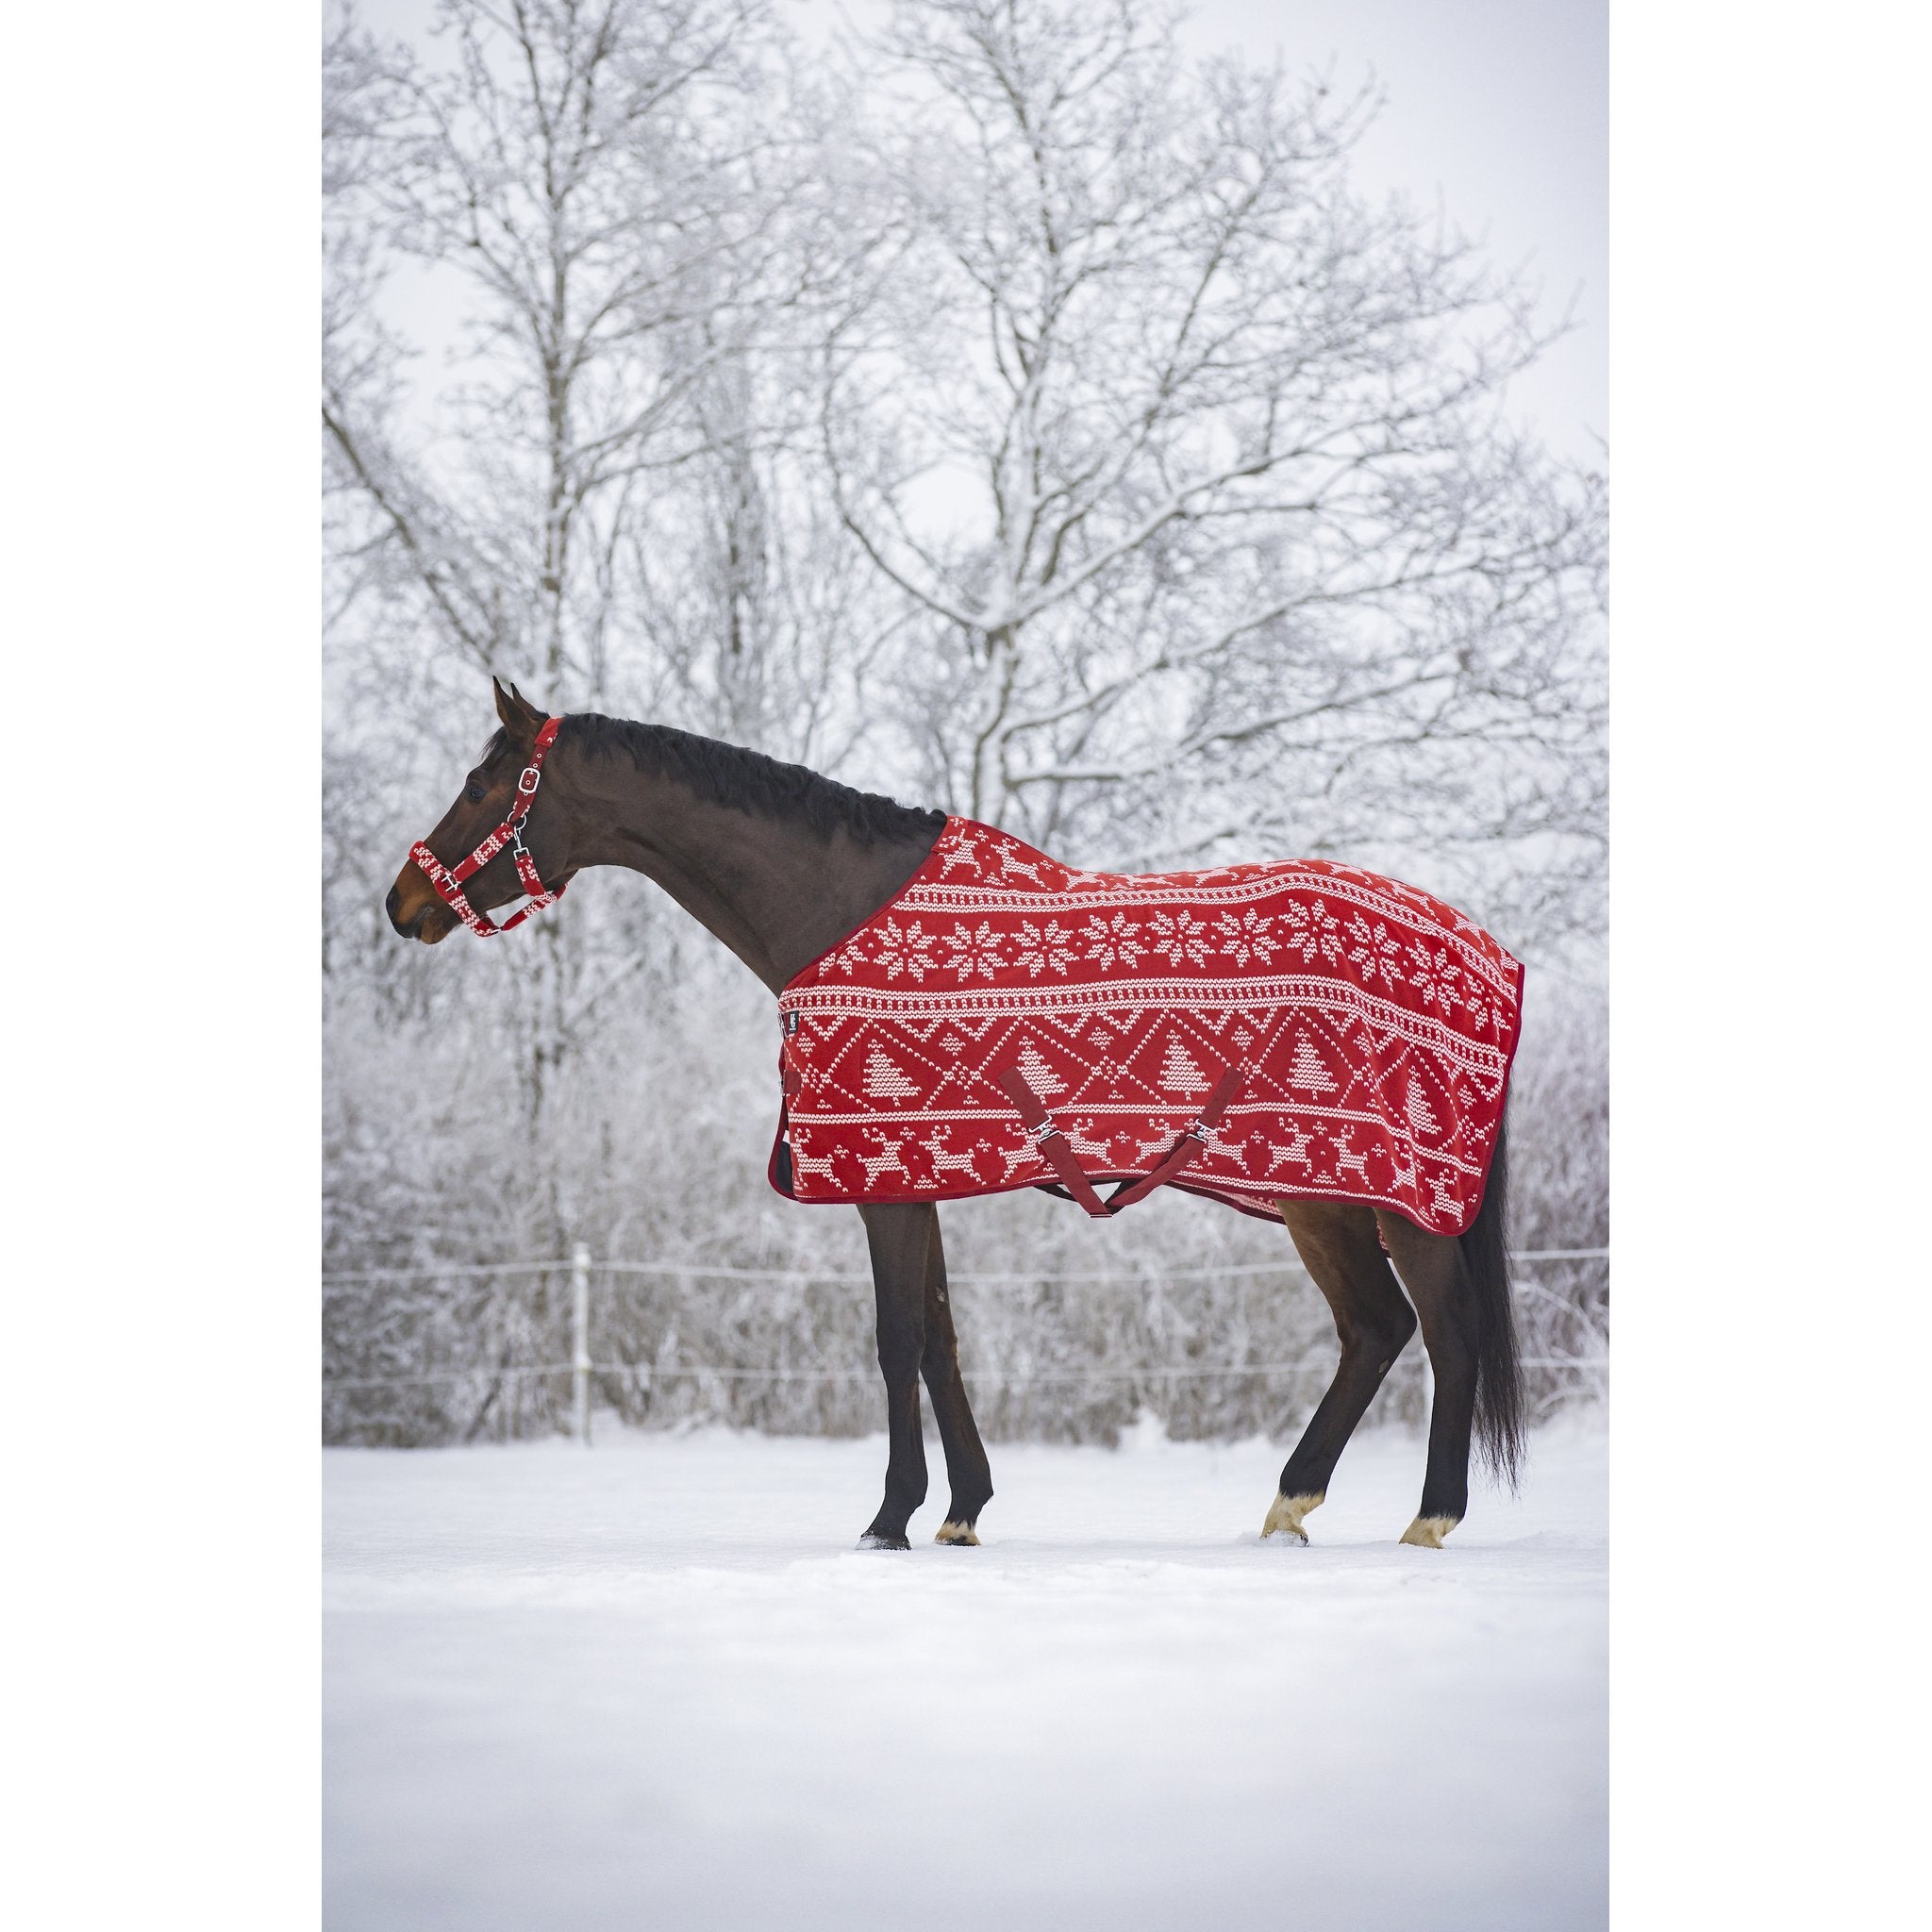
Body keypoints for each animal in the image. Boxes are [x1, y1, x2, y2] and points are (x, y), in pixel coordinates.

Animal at [387, 679, 1524, 1551]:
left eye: (481, 784)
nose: (402, 902)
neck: (840, 907)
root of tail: (1488, 952)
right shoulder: (911, 1175)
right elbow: (939, 1337)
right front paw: (961, 1509)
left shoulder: (881, 1182)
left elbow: (897, 1339)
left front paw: (888, 1517)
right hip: (1319, 1201)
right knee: (1374, 1331)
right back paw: (1290, 1502)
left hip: (1403, 1202)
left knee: (1444, 1330)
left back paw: (1428, 1518)